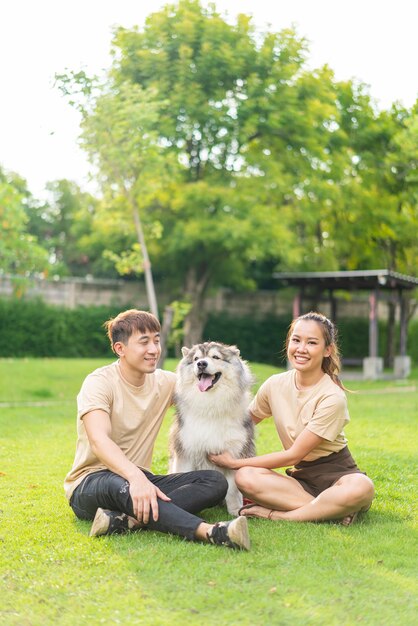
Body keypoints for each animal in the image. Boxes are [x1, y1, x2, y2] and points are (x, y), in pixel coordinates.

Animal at [169, 342, 255, 512]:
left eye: (215, 357)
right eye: (196, 359)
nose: (201, 364)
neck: (210, 405)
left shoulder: (233, 453)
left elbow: (233, 489)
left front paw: (235, 511)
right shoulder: (186, 452)